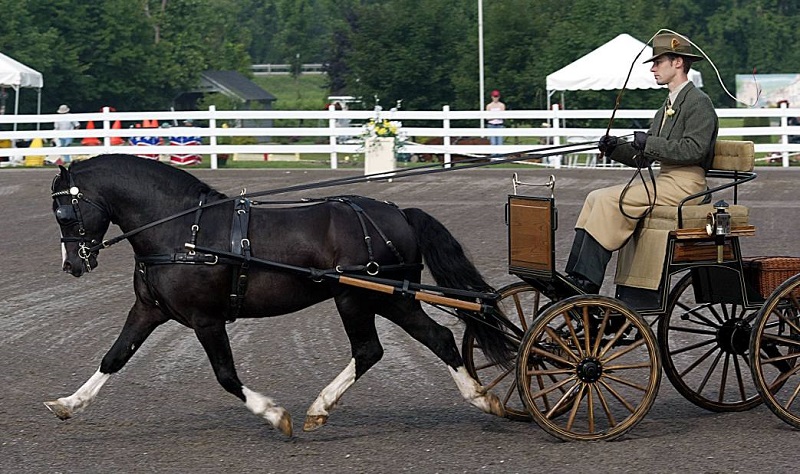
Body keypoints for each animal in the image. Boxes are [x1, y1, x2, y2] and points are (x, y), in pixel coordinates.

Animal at [45, 154, 515, 437]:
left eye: (64, 211)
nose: (73, 264)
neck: (182, 231)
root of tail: (398, 212)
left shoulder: (205, 319)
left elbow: (226, 375)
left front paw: (275, 415)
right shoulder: (148, 310)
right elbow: (114, 357)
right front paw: (68, 403)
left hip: (361, 298)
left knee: (373, 349)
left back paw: (323, 406)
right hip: (389, 298)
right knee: (434, 339)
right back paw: (478, 396)